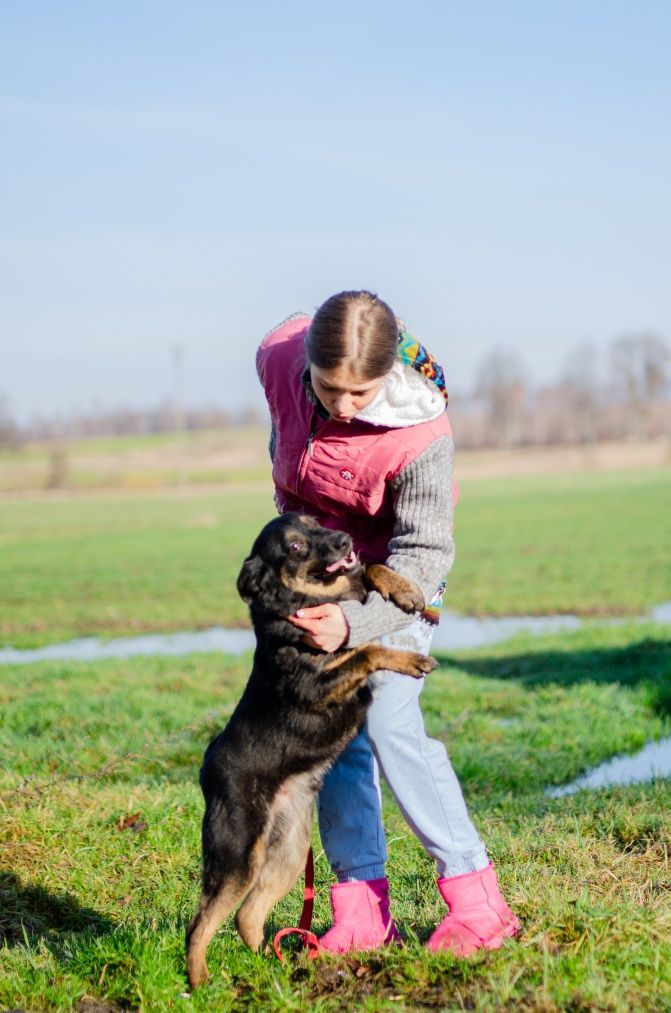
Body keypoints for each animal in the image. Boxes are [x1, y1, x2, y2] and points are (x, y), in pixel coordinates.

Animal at [186, 510, 439, 984]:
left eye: (314, 521)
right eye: (295, 546)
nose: (343, 539)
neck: (304, 599)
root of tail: (207, 767)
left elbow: (371, 570)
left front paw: (408, 592)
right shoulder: (315, 686)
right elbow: (366, 650)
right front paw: (410, 658)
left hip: (287, 853)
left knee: (247, 916)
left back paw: (273, 964)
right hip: (237, 854)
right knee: (201, 923)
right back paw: (200, 982)